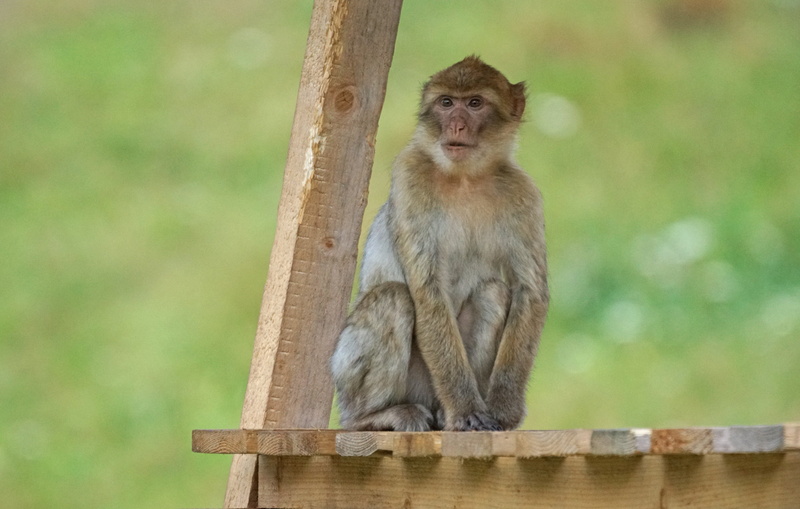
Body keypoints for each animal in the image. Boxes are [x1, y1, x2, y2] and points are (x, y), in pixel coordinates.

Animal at [330, 56, 549, 432]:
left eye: (474, 103)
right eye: (446, 103)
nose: (456, 126)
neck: (465, 178)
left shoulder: (523, 194)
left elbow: (530, 292)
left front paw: (504, 408)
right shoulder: (409, 175)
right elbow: (427, 290)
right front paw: (465, 409)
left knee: (493, 292)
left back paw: (446, 416)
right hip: (352, 376)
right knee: (393, 297)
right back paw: (374, 416)